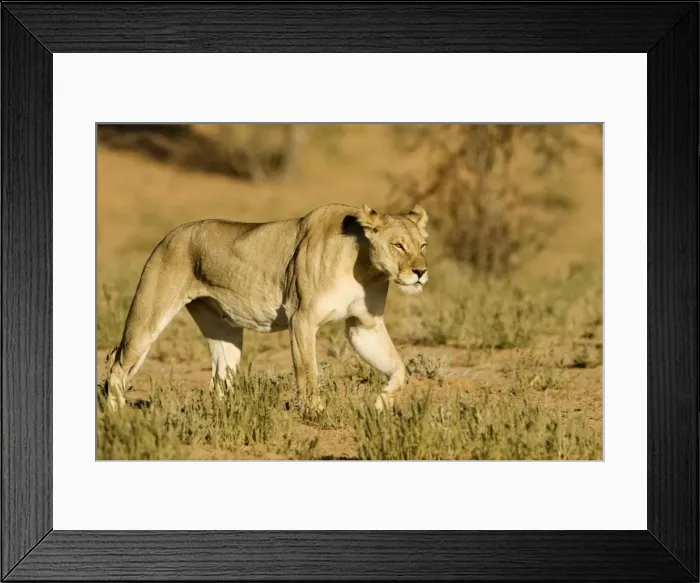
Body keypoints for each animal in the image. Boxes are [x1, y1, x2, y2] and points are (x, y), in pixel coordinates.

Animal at [103, 202, 429, 412]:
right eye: (398, 245)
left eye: (423, 245)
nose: (421, 272)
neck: (366, 268)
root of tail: (170, 234)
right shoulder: (302, 319)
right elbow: (308, 372)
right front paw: (316, 412)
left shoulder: (364, 326)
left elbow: (399, 369)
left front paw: (381, 404)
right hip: (148, 316)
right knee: (118, 365)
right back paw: (116, 414)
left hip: (224, 332)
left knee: (220, 380)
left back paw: (227, 416)